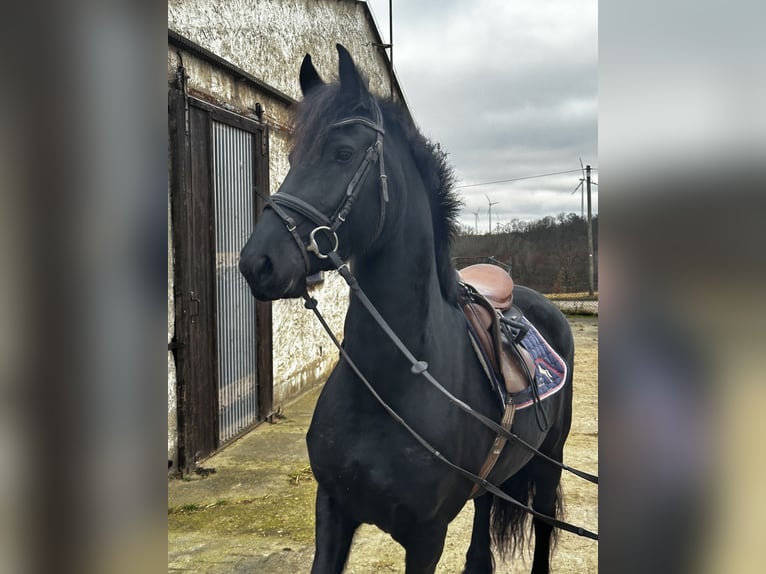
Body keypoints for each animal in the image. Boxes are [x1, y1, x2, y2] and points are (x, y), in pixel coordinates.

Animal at [239, 44, 575, 574]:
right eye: (291, 157)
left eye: (342, 154)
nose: (258, 262)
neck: (392, 385)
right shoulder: (332, 509)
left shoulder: (426, 536)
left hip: (550, 460)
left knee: (544, 525)